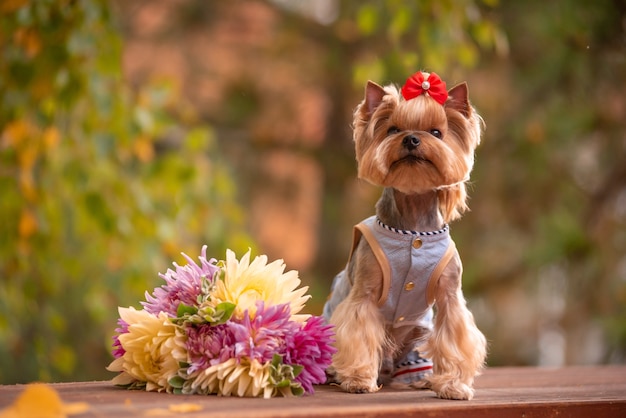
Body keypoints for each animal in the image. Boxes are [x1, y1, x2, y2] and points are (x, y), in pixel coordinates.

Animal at [322, 71, 488, 398]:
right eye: (393, 130)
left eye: (436, 132)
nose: (411, 138)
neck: (413, 229)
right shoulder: (364, 294)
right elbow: (358, 331)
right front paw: (358, 380)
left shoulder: (450, 295)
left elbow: (453, 336)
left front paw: (452, 385)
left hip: (416, 336)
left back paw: (420, 378)